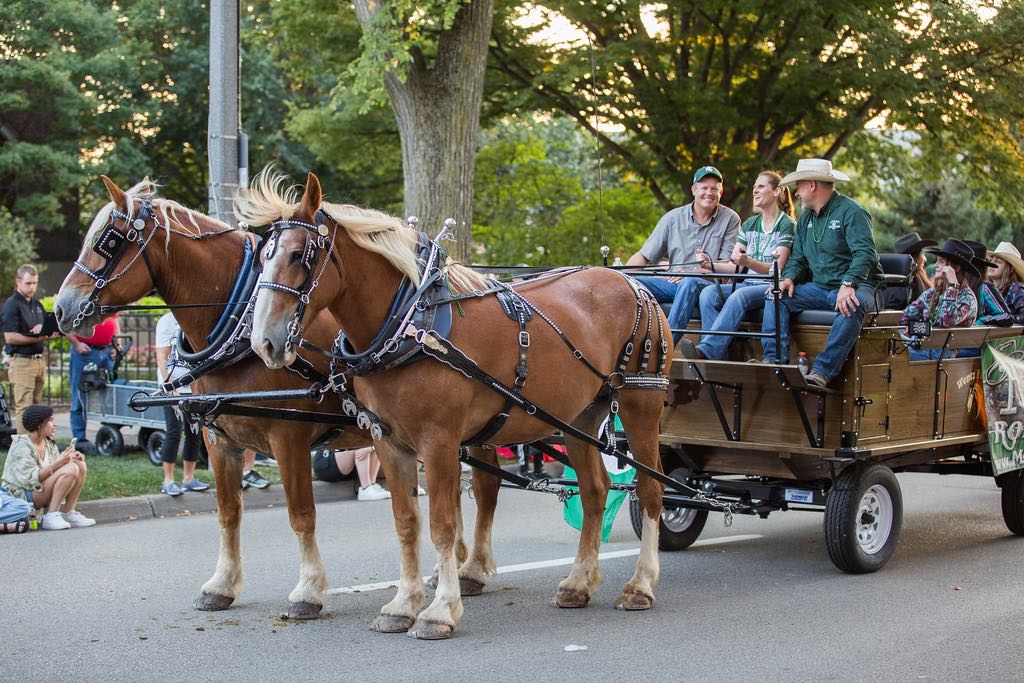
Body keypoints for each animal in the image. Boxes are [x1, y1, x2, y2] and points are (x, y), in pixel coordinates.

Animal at [50, 178, 376, 618]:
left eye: (109, 240)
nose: (60, 310)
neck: (240, 331)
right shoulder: (220, 439)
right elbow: (227, 514)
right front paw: (221, 585)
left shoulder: (289, 439)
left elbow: (301, 515)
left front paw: (308, 591)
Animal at [242, 172, 667, 643]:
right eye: (263, 257)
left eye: (300, 255)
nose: (262, 342)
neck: (412, 323)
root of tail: (632, 282)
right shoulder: (388, 440)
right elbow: (407, 522)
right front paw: (403, 604)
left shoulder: (439, 440)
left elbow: (442, 524)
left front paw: (440, 609)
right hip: (580, 417)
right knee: (595, 491)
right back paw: (577, 582)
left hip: (641, 406)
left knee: (651, 489)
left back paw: (641, 584)